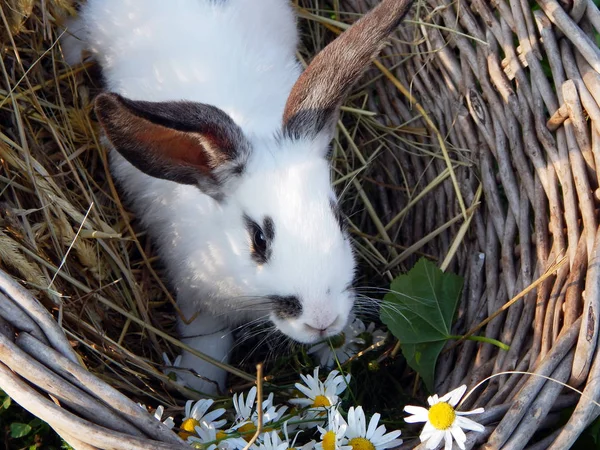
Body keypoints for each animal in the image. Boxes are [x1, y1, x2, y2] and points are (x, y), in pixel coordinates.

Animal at [64, 0, 412, 394]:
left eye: (339, 219)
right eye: (259, 239)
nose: (321, 319)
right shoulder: (198, 302)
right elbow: (208, 346)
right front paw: (196, 388)